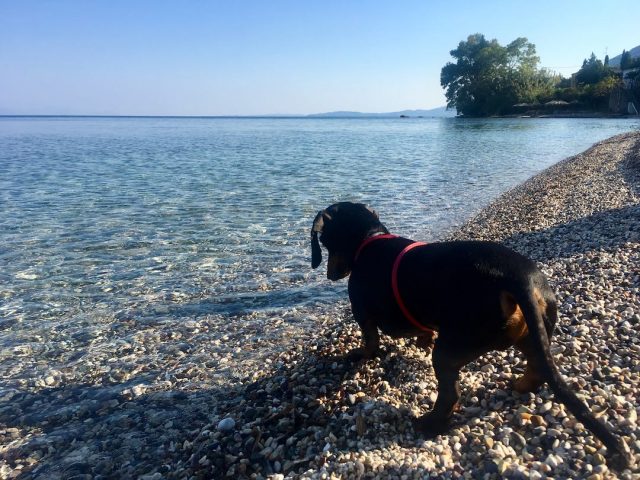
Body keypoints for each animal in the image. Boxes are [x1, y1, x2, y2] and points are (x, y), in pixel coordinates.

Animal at [310, 201, 632, 470]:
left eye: (324, 242)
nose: (329, 275)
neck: (368, 241)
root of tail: (520, 278)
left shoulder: (362, 314)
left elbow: (370, 341)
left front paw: (362, 354)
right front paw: (420, 340)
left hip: (449, 351)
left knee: (450, 393)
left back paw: (431, 422)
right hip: (532, 334)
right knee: (537, 368)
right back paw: (521, 384)